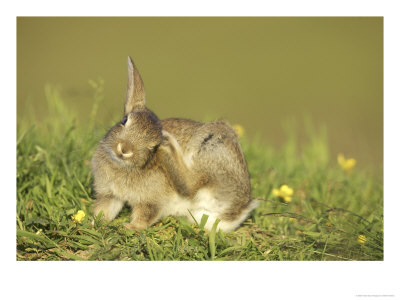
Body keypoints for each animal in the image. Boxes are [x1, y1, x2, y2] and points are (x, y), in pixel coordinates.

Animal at [91, 56, 260, 232]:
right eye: (124, 120)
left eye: (153, 146)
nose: (125, 149)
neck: (122, 166)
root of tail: (239, 211)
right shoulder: (110, 194)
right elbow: (104, 209)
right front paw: (95, 223)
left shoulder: (151, 201)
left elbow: (145, 216)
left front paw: (130, 227)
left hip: (213, 147)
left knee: (190, 186)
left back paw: (170, 145)